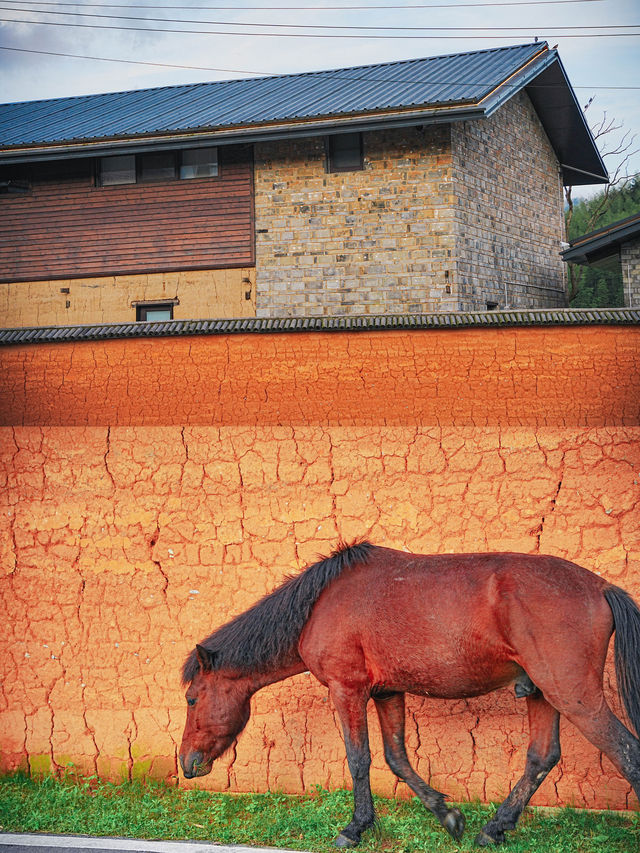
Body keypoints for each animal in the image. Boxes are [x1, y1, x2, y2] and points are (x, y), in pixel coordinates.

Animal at [176, 540, 640, 844]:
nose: (187, 763)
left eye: (192, 698)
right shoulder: (387, 692)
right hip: (543, 692)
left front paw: (355, 828)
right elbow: (396, 757)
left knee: (627, 755)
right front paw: (448, 816)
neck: (319, 604)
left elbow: (359, 758)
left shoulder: (347, 690)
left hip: (574, 696)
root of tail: (601, 587)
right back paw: (493, 830)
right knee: (541, 757)